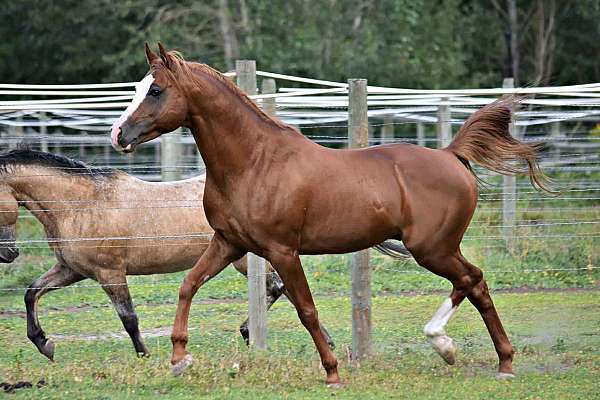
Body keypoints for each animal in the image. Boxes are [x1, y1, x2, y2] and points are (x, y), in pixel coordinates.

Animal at [110, 43, 552, 384]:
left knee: (473, 280)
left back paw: (481, 355)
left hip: (432, 248)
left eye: (156, 90)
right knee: (471, 282)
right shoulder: (229, 243)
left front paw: (333, 372)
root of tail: (450, 155)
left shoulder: (283, 251)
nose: (118, 135)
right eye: (139, 88)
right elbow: (188, 284)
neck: (254, 162)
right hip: (435, 248)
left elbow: (307, 310)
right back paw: (466, 352)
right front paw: (179, 359)